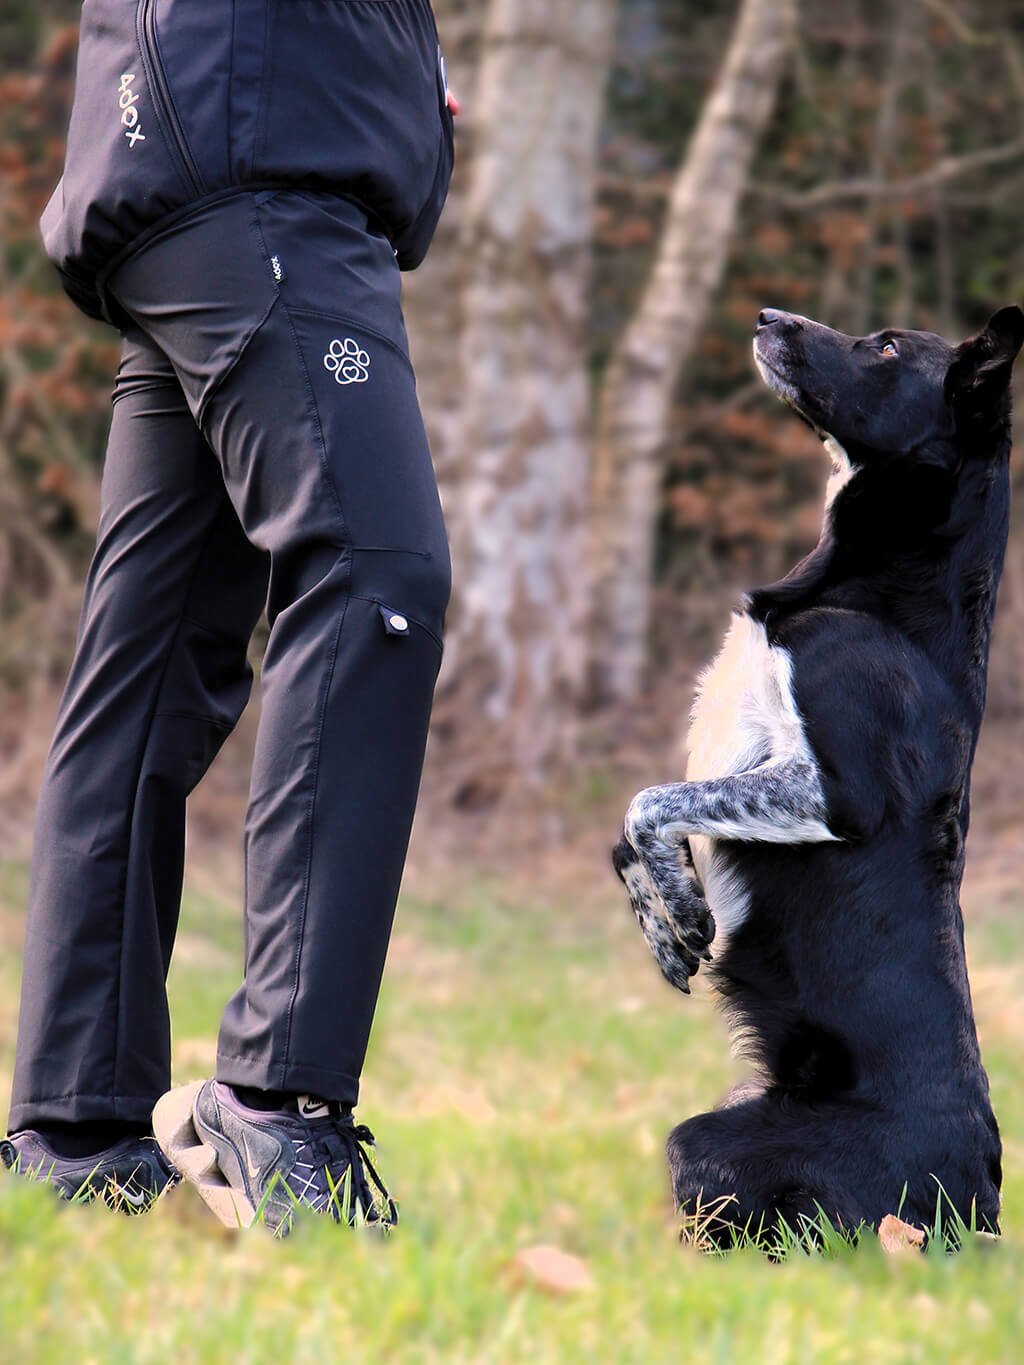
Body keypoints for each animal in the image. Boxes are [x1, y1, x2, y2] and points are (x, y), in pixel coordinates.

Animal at [614, 304, 1021, 1244]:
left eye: (887, 347)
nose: (767, 315)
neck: (880, 594)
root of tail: (973, 1209)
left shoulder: (833, 788)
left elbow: (648, 800)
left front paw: (684, 912)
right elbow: (630, 833)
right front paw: (666, 923)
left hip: (708, 1144)